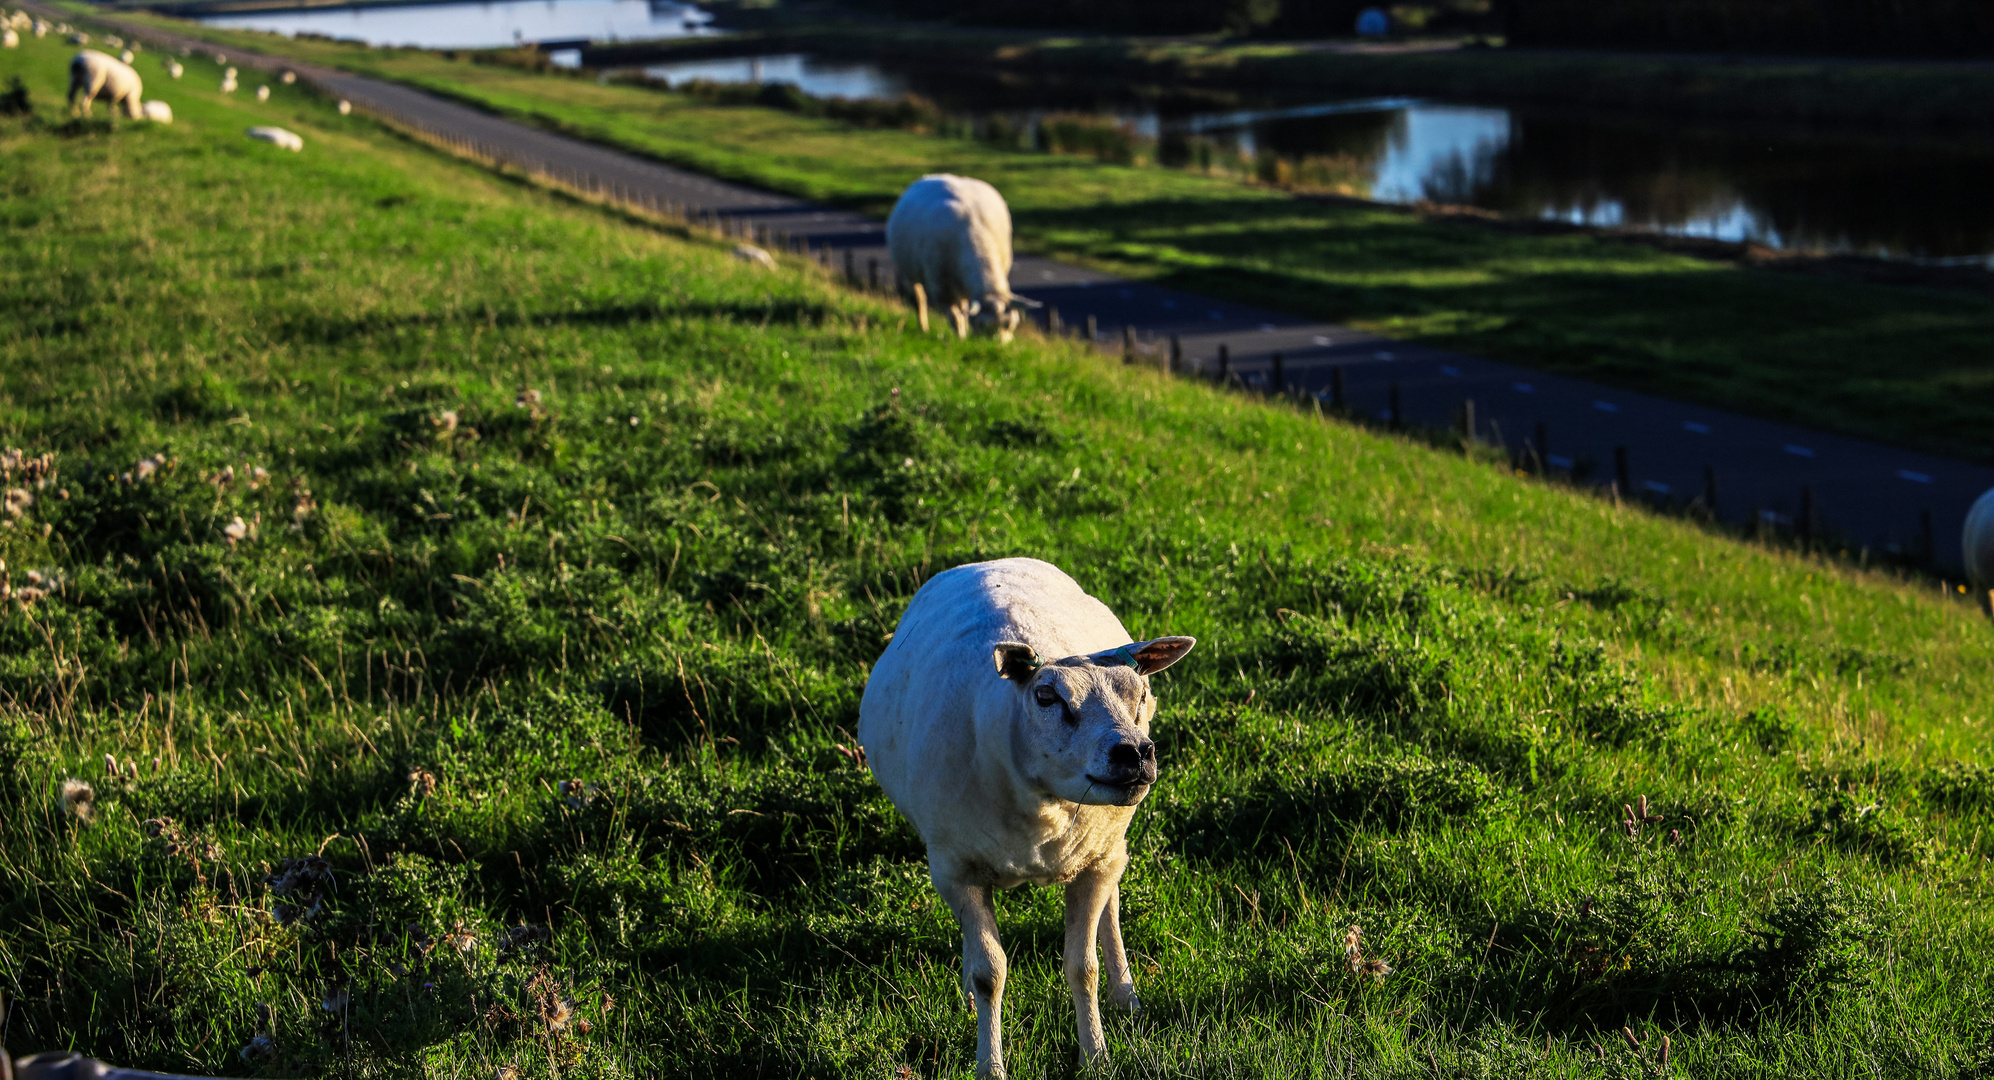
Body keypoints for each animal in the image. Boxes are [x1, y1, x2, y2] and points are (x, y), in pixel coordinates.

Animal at [853, 557, 1188, 1080]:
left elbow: (1083, 967)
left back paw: (1126, 996)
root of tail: (990, 561)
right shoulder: (956, 871)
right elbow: (989, 973)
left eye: (1141, 693)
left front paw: (1096, 1056)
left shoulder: (1093, 861)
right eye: (1047, 698)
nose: (1135, 753)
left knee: (1112, 906)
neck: (1042, 814)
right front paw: (990, 1065)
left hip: (1108, 845)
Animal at [893, 173, 1044, 342]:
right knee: (920, 299)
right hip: (911, 273)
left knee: (962, 305)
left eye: (1011, 324)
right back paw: (924, 327)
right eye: (982, 325)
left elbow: (963, 313)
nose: (998, 346)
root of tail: (932, 176)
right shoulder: (941, 288)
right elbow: (955, 317)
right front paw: (961, 339)